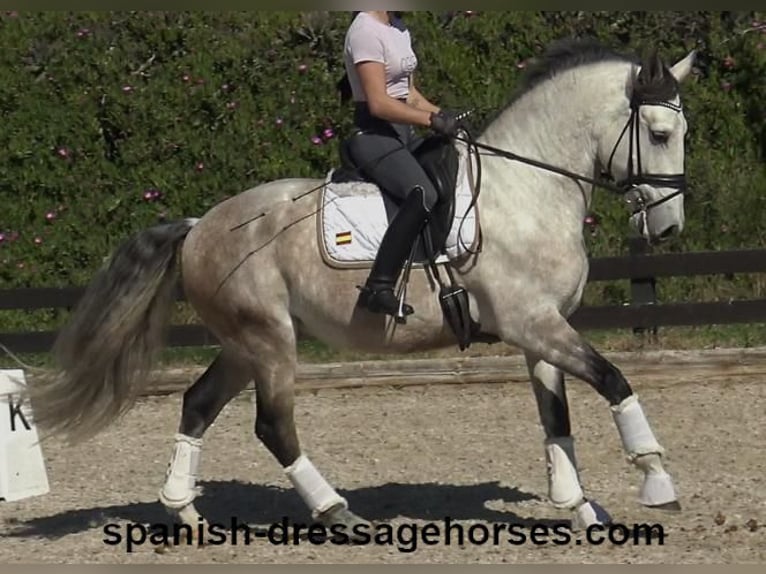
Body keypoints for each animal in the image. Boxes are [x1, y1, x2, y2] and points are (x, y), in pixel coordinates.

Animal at [30, 44, 696, 536]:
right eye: (661, 132)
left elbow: (555, 417)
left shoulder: (541, 329)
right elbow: (614, 381)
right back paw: (335, 511)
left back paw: (184, 509)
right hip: (269, 341)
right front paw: (656, 480)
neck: (526, 190)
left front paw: (578, 505)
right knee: (273, 426)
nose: (668, 227)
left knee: (197, 404)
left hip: (245, 344)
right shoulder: (532, 322)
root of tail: (199, 227)